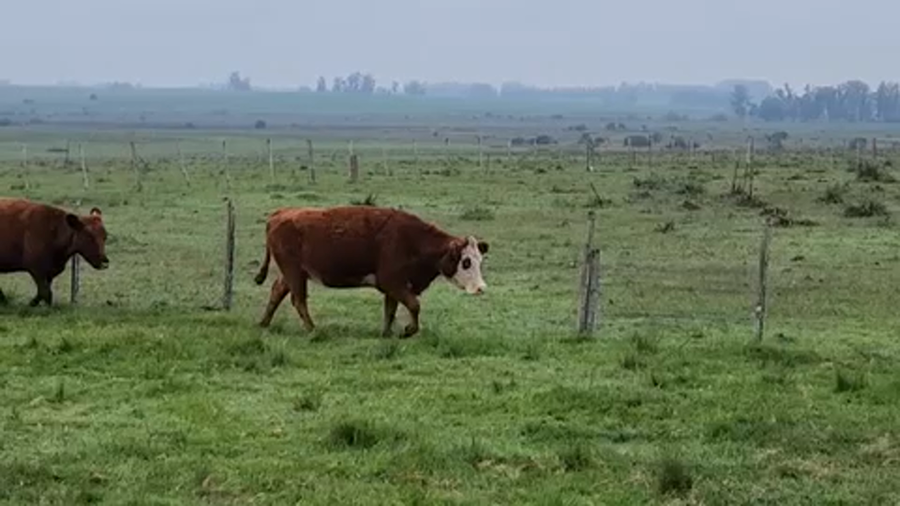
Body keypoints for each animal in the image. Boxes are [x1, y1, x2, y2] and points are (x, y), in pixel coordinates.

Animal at [253, 205, 490, 338]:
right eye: (466, 262)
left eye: (479, 260)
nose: (481, 288)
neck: (412, 240)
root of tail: (279, 214)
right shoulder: (393, 282)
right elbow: (414, 305)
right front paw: (407, 331)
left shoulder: (395, 287)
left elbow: (390, 310)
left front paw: (386, 333)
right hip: (294, 273)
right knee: (298, 300)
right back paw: (313, 329)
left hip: (292, 274)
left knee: (277, 291)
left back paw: (264, 323)